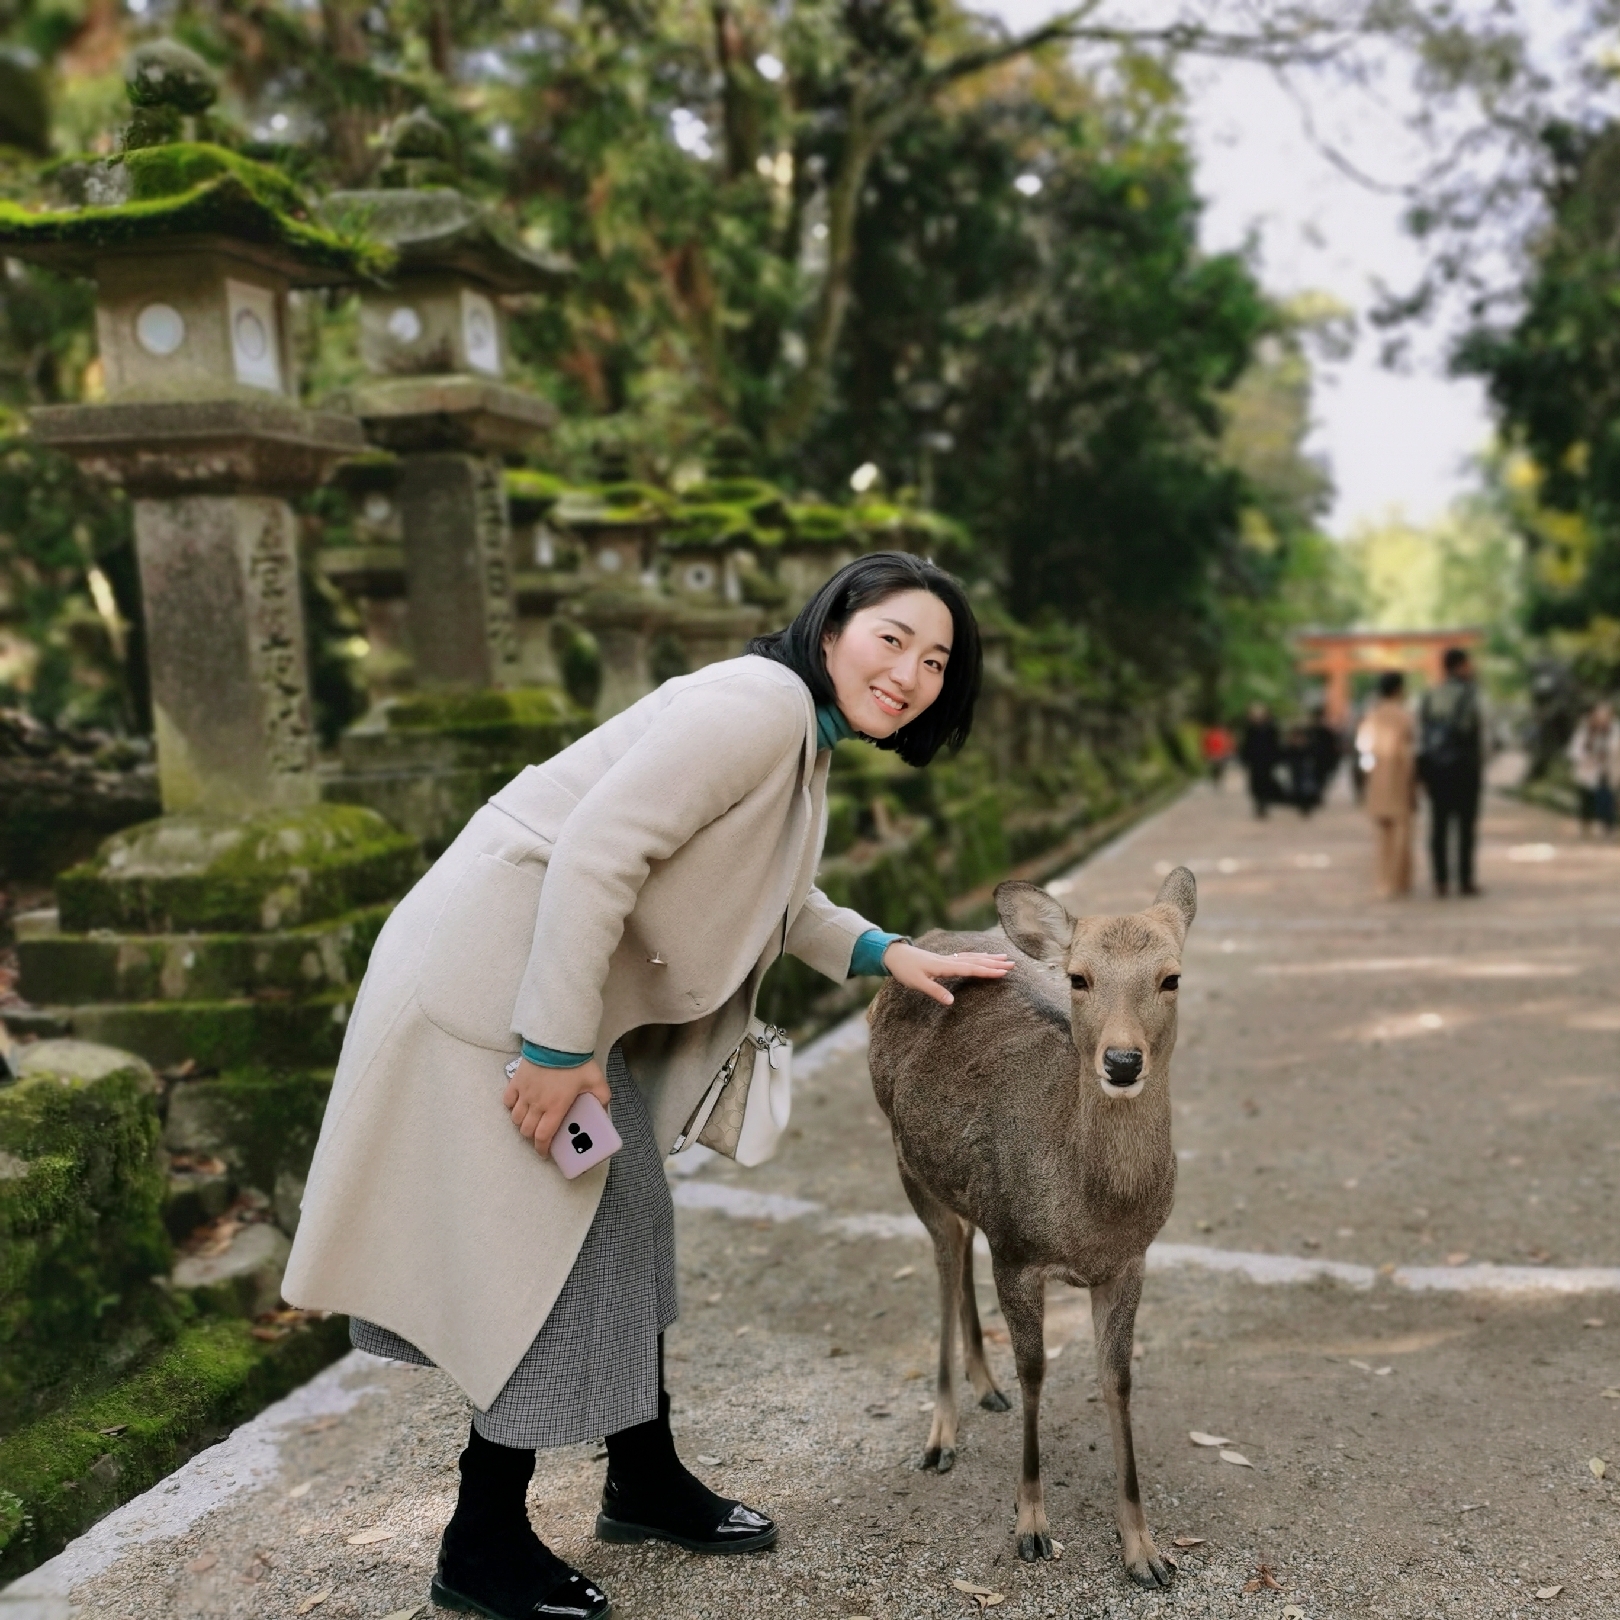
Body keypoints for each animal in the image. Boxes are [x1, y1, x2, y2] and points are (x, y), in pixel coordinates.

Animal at [868, 868, 1198, 1587]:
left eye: (1171, 977)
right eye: (1078, 977)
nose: (1122, 1061)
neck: (1091, 1215)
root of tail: (926, 938)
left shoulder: (1130, 1261)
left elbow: (1116, 1380)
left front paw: (1144, 1551)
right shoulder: (1017, 1252)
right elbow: (1036, 1372)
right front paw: (1031, 1526)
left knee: (962, 1245)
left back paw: (984, 1387)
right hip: (905, 1160)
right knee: (945, 1259)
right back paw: (941, 1435)